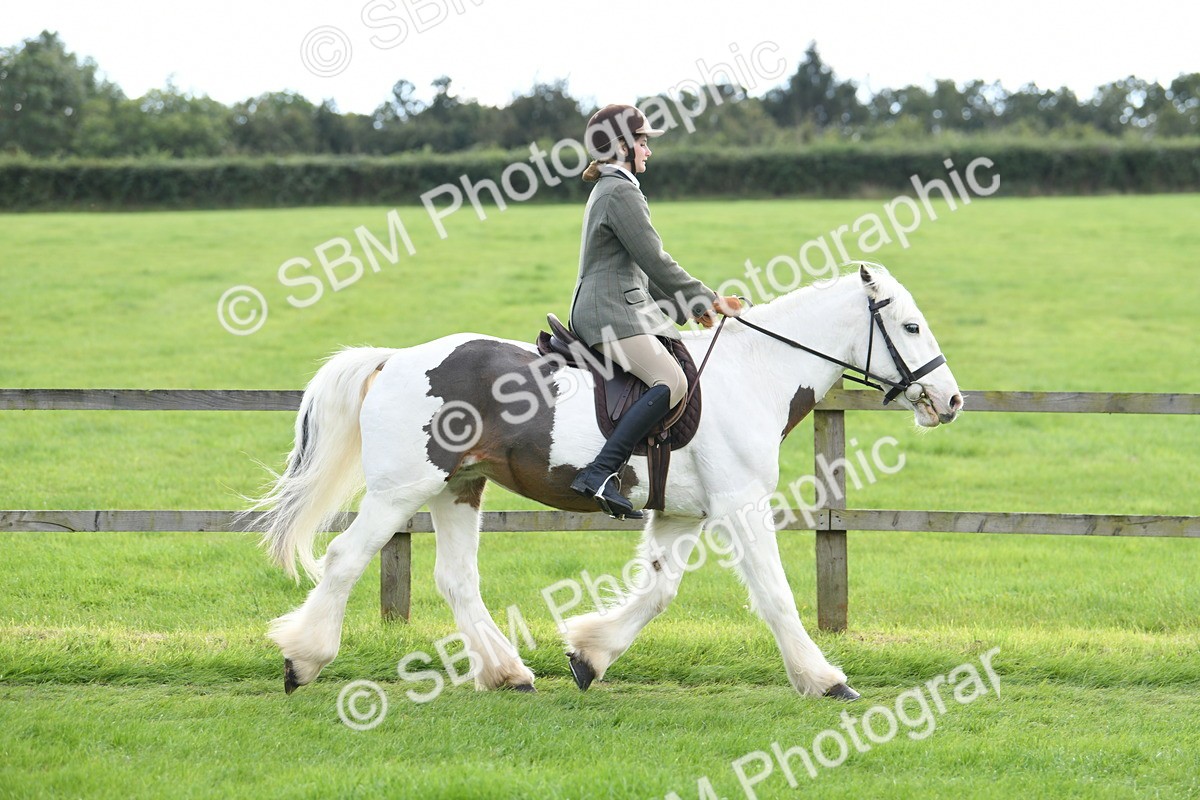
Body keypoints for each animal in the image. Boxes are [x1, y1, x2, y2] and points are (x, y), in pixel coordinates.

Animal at [252, 263, 962, 701]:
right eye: (910, 326)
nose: (950, 401)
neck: (756, 373)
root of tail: (397, 359)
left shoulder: (680, 516)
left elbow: (659, 591)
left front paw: (589, 654)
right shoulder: (741, 504)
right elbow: (776, 596)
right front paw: (824, 680)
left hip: (460, 487)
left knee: (456, 580)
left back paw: (507, 673)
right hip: (402, 490)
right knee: (346, 558)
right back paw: (301, 660)